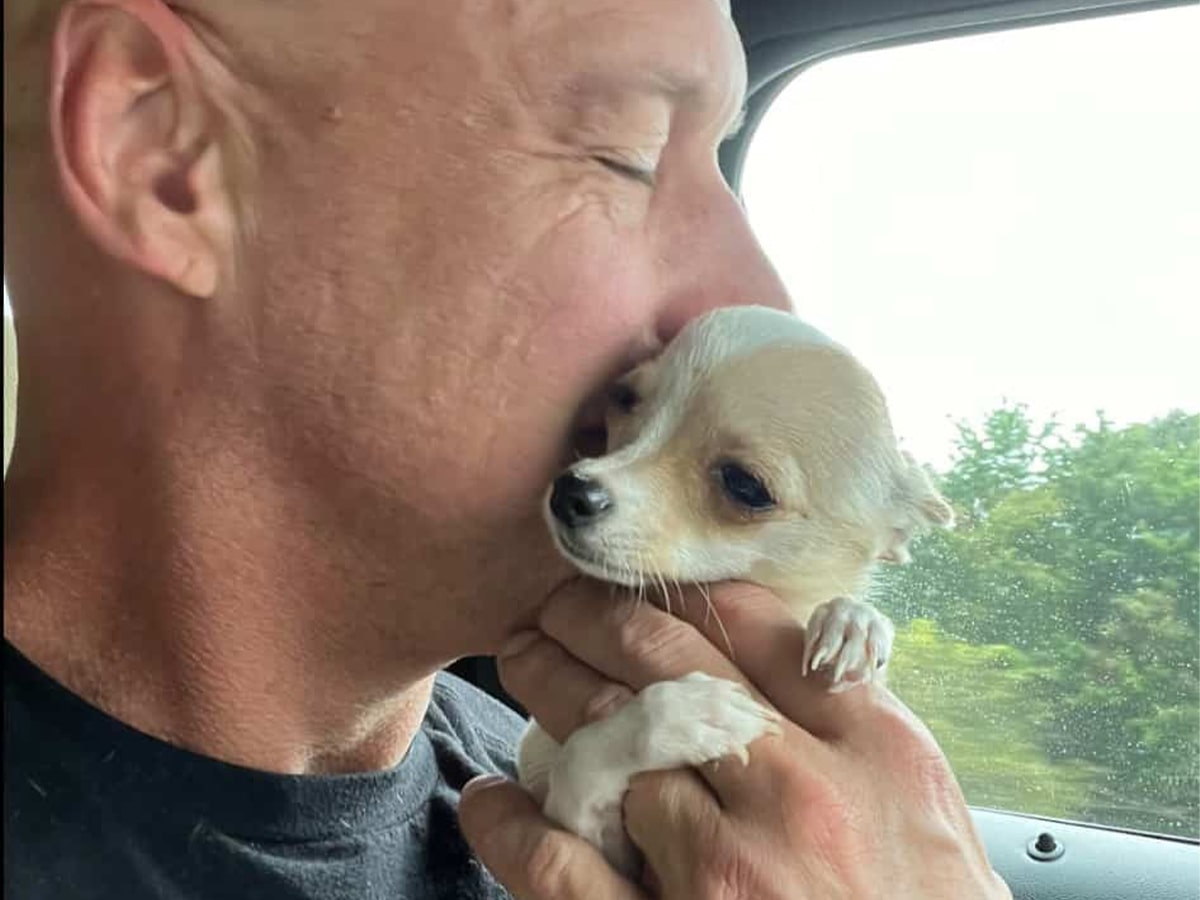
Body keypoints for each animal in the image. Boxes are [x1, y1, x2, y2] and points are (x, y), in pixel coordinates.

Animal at [520, 307, 950, 878]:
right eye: (624, 397)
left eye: (746, 485)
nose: (572, 490)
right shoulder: (591, 838)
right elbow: (580, 757)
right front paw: (681, 715)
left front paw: (854, 621)